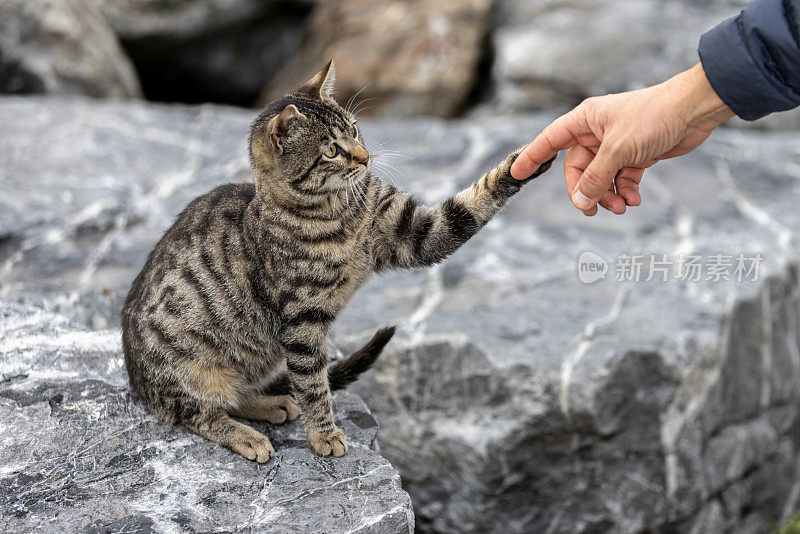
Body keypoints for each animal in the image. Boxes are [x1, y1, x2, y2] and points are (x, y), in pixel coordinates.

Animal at [122, 59, 552, 464]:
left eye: (356, 130)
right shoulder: (301, 321)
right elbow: (313, 384)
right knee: (200, 414)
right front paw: (324, 435)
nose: (366, 158)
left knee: (242, 394)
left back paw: (272, 404)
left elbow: (466, 207)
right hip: (194, 369)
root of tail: (140, 386)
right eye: (331, 149)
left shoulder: (412, 234)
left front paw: (523, 163)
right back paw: (248, 436)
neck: (340, 213)